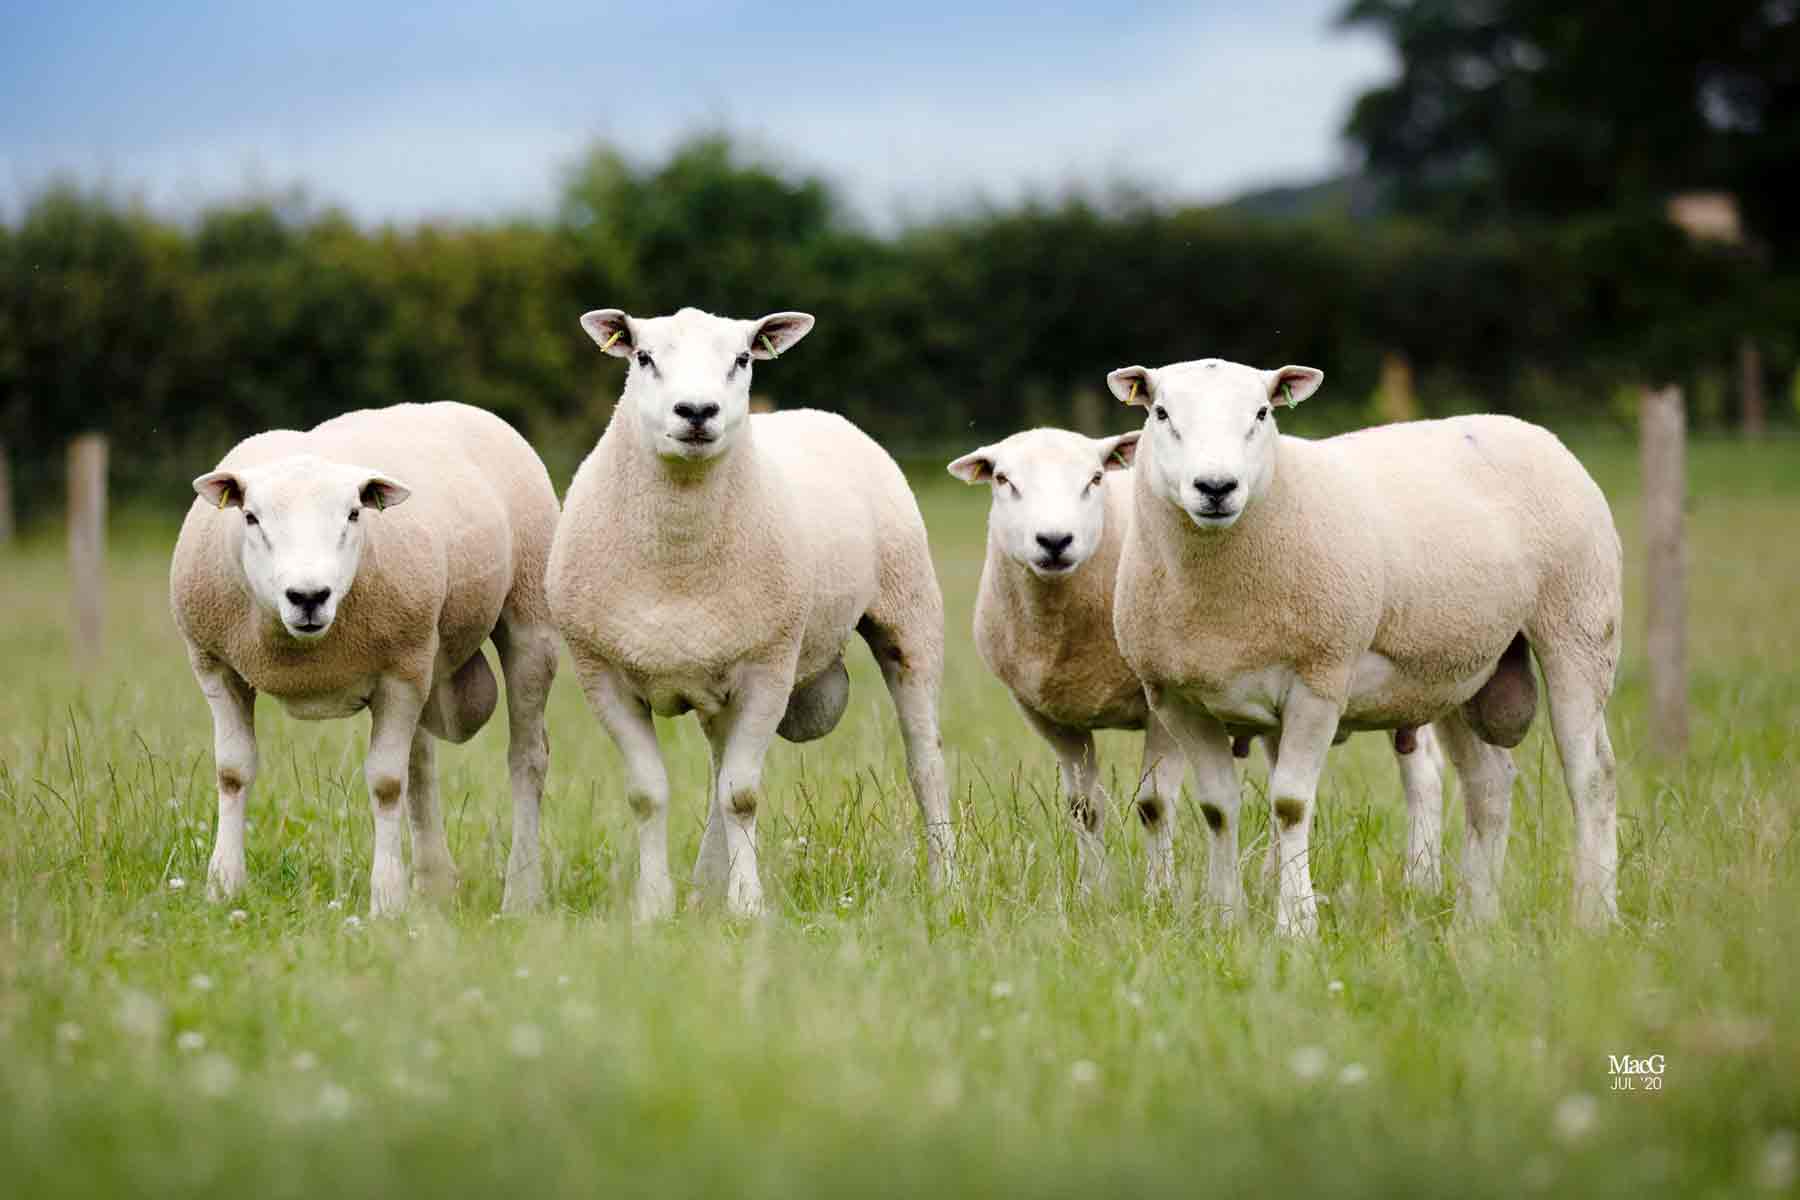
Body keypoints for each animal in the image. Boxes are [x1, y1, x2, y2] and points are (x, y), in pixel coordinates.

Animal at [170, 402, 561, 921]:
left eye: (354, 514)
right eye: (250, 518)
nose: (308, 597)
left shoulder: (400, 674)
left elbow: (385, 783)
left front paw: (387, 901)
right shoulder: (215, 665)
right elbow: (233, 772)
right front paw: (223, 887)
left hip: (527, 619)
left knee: (527, 759)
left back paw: (521, 894)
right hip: (425, 657)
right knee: (422, 763)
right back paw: (434, 883)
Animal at [547, 307, 957, 921]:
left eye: (742, 358)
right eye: (643, 356)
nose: (697, 411)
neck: (677, 562)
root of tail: (818, 414)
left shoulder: (768, 669)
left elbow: (741, 797)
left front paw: (747, 907)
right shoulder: (603, 677)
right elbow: (649, 795)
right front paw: (654, 906)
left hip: (908, 614)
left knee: (925, 761)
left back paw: (947, 884)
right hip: (719, 681)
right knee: (718, 771)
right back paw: (700, 892)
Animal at [957, 426, 1447, 895]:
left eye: (1095, 479)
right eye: (1003, 480)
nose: (1055, 541)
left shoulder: (1161, 707)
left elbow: (1154, 804)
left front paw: (1160, 894)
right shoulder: (1051, 718)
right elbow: (1083, 809)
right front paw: (1093, 894)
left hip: (1399, 680)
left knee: (1422, 772)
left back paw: (1421, 879)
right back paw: (1271, 878)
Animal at [1101, 359, 1627, 935]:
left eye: (1262, 413)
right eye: (1161, 412)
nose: (1216, 487)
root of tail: (1527, 429)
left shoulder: (1320, 681)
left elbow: (1290, 805)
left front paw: (1296, 924)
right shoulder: (1178, 700)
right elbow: (1218, 808)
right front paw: (1224, 918)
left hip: (1579, 622)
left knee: (1592, 776)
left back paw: (1595, 913)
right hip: (1461, 668)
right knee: (1489, 784)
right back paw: (1475, 919)